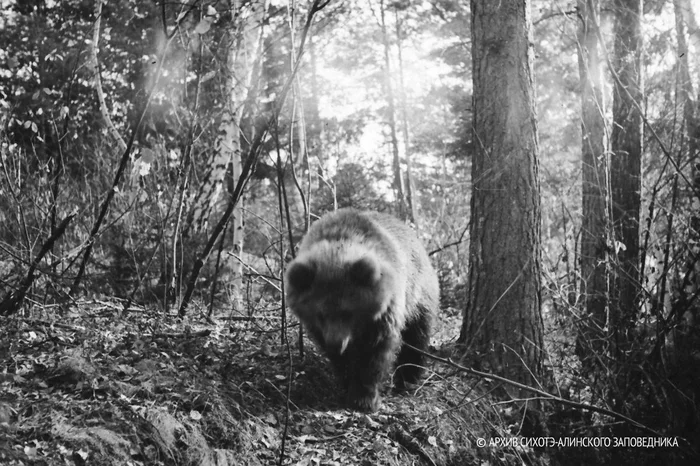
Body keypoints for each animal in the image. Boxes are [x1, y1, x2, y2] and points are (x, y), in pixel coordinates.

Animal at [284, 208, 438, 412]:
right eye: (320, 314)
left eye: (348, 312)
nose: (336, 343)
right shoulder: (319, 329)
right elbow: (338, 359)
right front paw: (347, 383)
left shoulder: (384, 313)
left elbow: (373, 352)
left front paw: (364, 398)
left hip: (418, 295)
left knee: (417, 337)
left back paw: (407, 380)